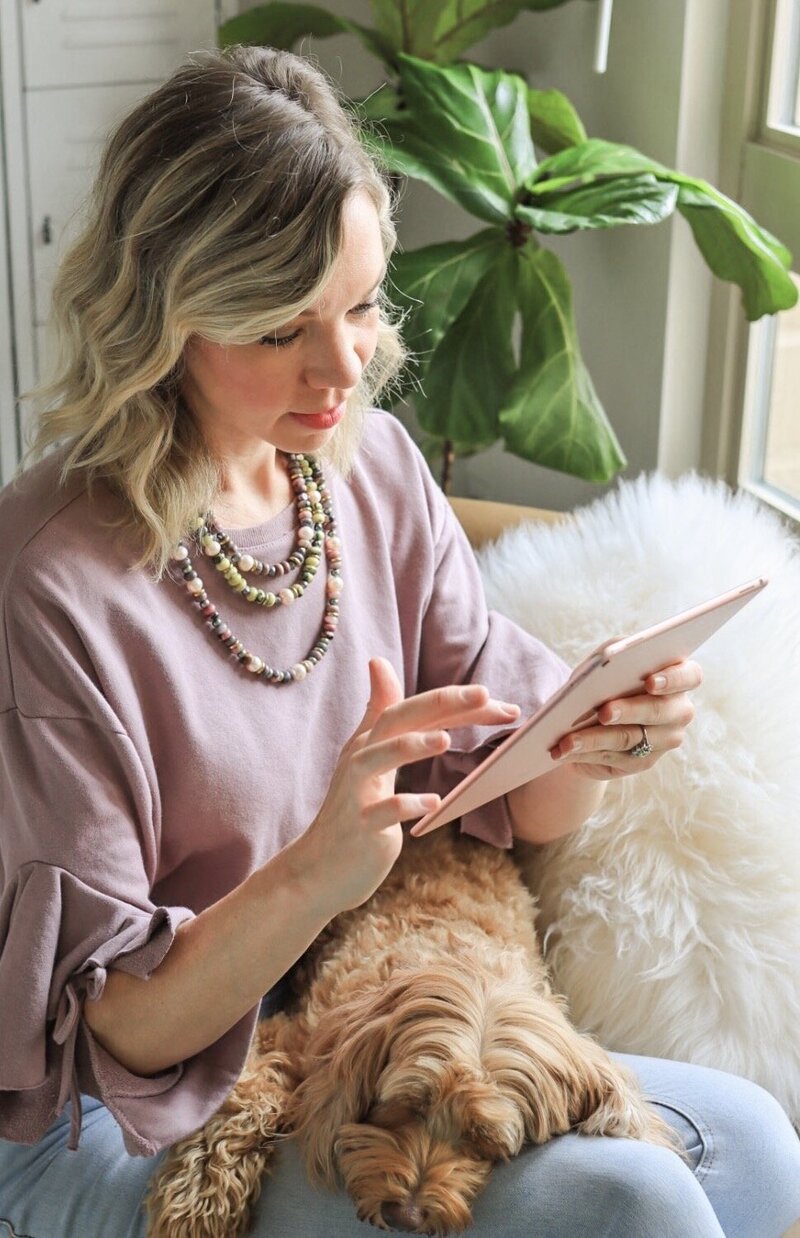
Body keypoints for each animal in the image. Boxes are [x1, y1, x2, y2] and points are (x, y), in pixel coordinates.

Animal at [144, 822, 683, 1238]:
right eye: (405, 1106)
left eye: (484, 1139)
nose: (406, 1215)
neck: (457, 962)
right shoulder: (292, 1038)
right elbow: (240, 1101)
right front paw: (200, 1205)